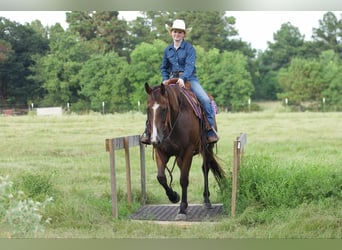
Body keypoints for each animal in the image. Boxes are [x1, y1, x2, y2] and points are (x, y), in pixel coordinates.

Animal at [144, 81, 224, 220]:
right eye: (148, 109)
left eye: (164, 109)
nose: (154, 139)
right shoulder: (161, 152)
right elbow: (161, 177)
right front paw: (174, 196)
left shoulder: (187, 152)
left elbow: (184, 179)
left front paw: (182, 209)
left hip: (207, 149)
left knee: (205, 169)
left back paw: (206, 200)